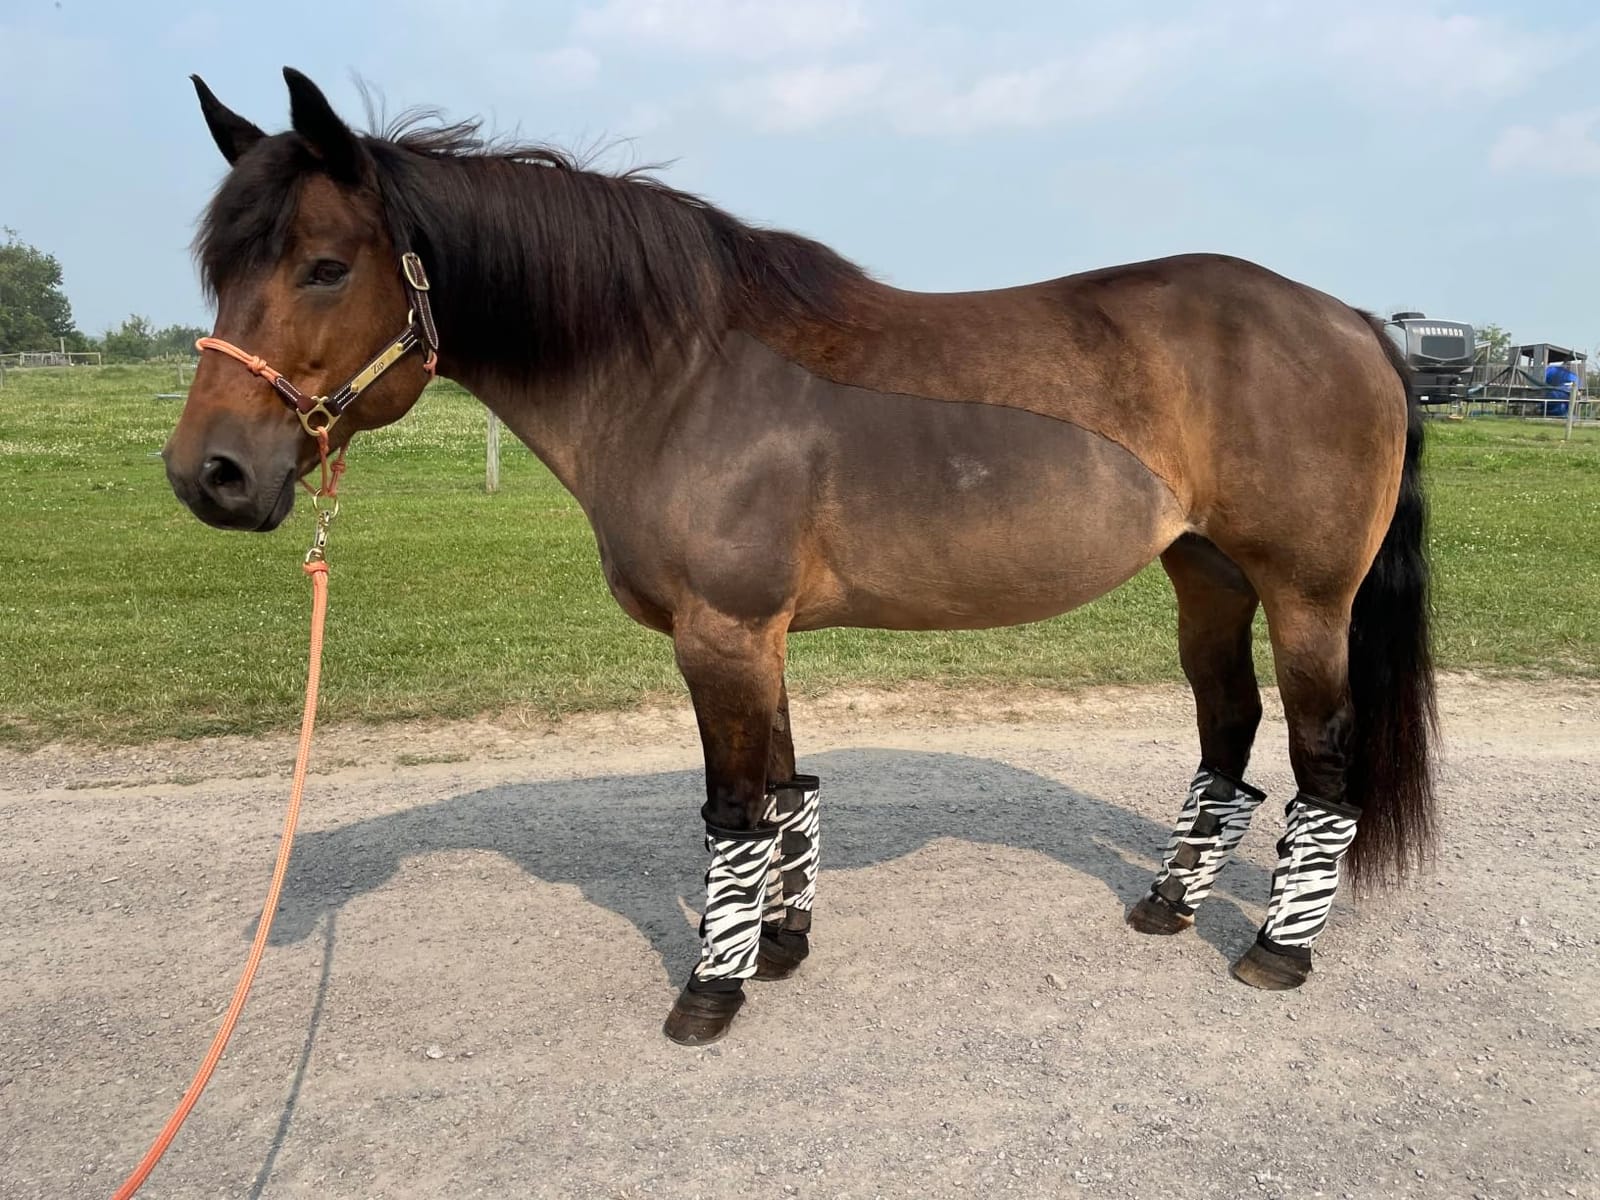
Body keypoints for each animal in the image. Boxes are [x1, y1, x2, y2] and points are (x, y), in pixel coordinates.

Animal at [164, 68, 1437, 1045]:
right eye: (220, 270)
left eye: (326, 265)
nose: (208, 474)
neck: (678, 372)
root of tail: (1348, 320)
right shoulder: (755, 638)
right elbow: (784, 794)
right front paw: (777, 944)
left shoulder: (720, 635)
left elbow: (734, 810)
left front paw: (710, 992)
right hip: (1206, 580)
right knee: (1227, 737)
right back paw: (1168, 907)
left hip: (1306, 598)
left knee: (1322, 769)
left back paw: (1276, 949)